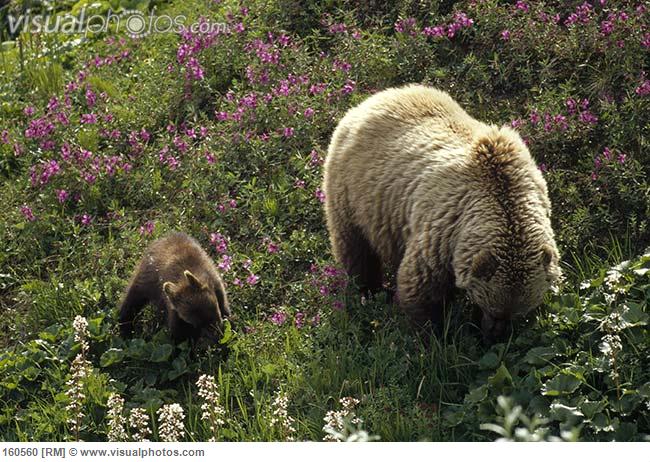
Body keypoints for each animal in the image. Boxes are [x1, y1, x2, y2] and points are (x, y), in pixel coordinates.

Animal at [322, 85, 560, 340]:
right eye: (492, 308)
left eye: (518, 312)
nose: (494, 335)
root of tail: (370, 100)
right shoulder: (442, 232)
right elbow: (420, 287)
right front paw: (433, 334)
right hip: (352, 192)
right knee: (356, 248)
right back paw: (369, 292)